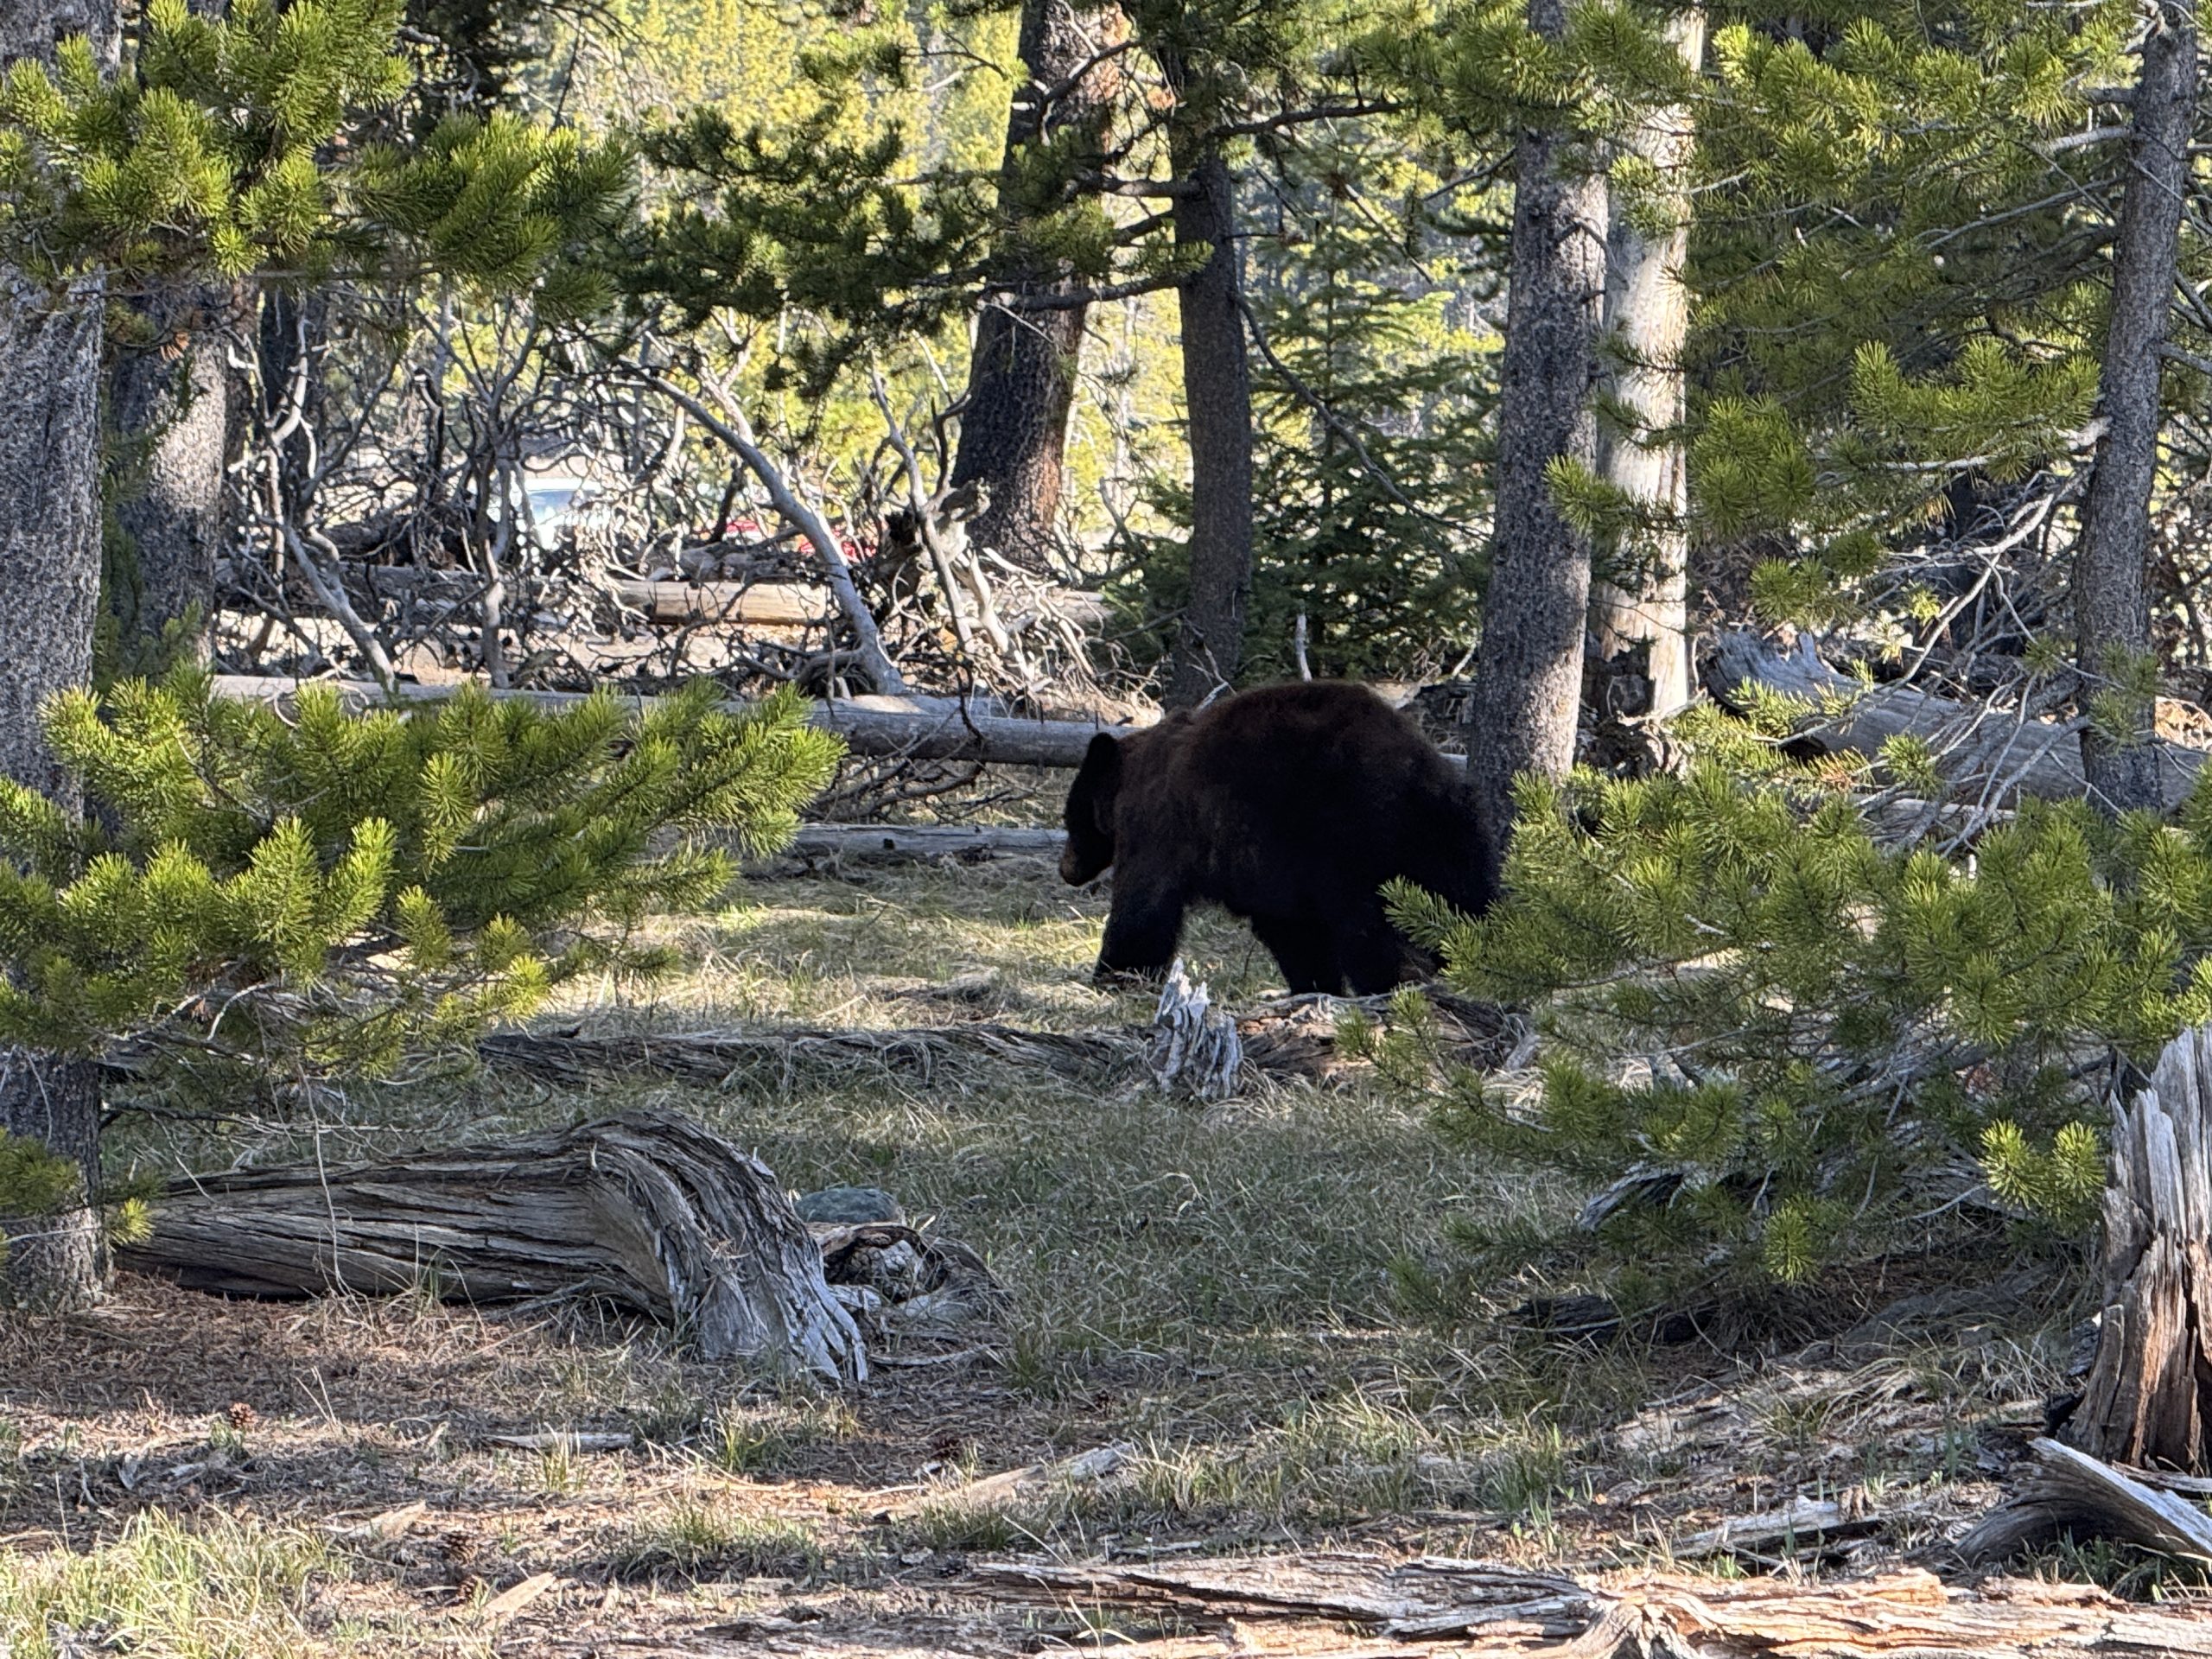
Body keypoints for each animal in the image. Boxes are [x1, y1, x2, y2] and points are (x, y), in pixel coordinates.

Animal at [1059, 680, 1497, 996]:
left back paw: (1394, 984)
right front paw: (1313, 986)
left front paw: (1114, 975)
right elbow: (1295, 932)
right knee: (1467, 899)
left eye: (1070, 818)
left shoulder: (1162, 827)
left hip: (1352, 839)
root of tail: (1419, 771)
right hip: (1453, 836)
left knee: (1368, 928)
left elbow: (1144, 903)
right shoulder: (1272, 868)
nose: (1066, 870)